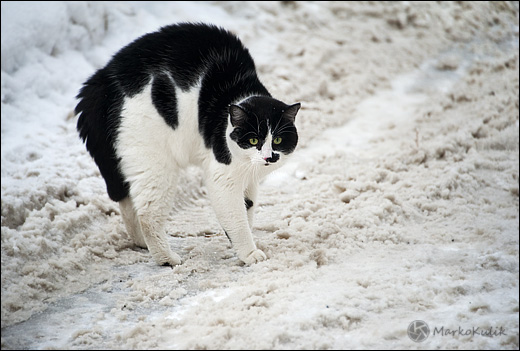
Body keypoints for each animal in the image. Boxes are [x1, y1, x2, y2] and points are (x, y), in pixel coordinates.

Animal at [74, 22, 300, 266]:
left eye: (277, 139)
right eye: (253, 140)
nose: (270, 156)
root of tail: (100, 83)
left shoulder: (248, 181)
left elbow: (247, 209)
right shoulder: (223, 177)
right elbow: (237, 219)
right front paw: (249, 253)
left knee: (128, 201)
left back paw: (141, 243)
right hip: (155, 164)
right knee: (148, 215)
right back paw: (166, 258)